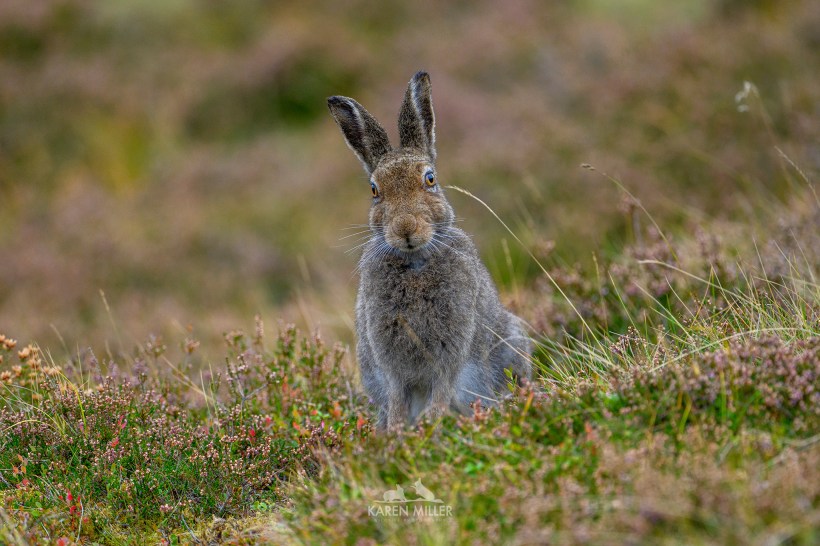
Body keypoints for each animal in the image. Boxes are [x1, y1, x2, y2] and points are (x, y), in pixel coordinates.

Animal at [327, 71, 531, 430]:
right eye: (374, 190)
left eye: (430, 179)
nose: (406, 228)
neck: (415, 261)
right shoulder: (390, 363)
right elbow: (398, 398)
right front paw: (397, 432)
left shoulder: (451, 350)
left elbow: (441, 390)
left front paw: (429, 426)